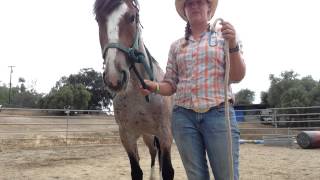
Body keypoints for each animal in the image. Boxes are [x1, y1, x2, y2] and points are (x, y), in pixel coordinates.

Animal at [94, 0, 174, 179]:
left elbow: (168, 171)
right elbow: (136, 171)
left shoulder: (165, 134)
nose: (114, 78)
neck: (139, 95)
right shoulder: (126, 136)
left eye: (132, 17)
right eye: (98, 20)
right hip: (147, 136)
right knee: (153, 152)